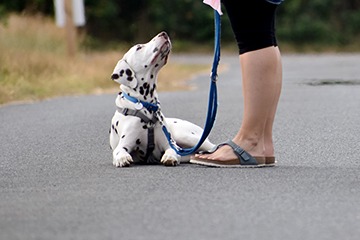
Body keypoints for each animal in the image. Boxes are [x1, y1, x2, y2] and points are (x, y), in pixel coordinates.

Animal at [109, 31, 214, 167]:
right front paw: (122, 158)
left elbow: (172, 151)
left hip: (186, 136)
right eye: (139, 48)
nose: (163, 33)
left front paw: (169, 157)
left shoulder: (169, 145)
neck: (146, 106)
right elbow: (119, 152)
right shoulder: (122, 145)